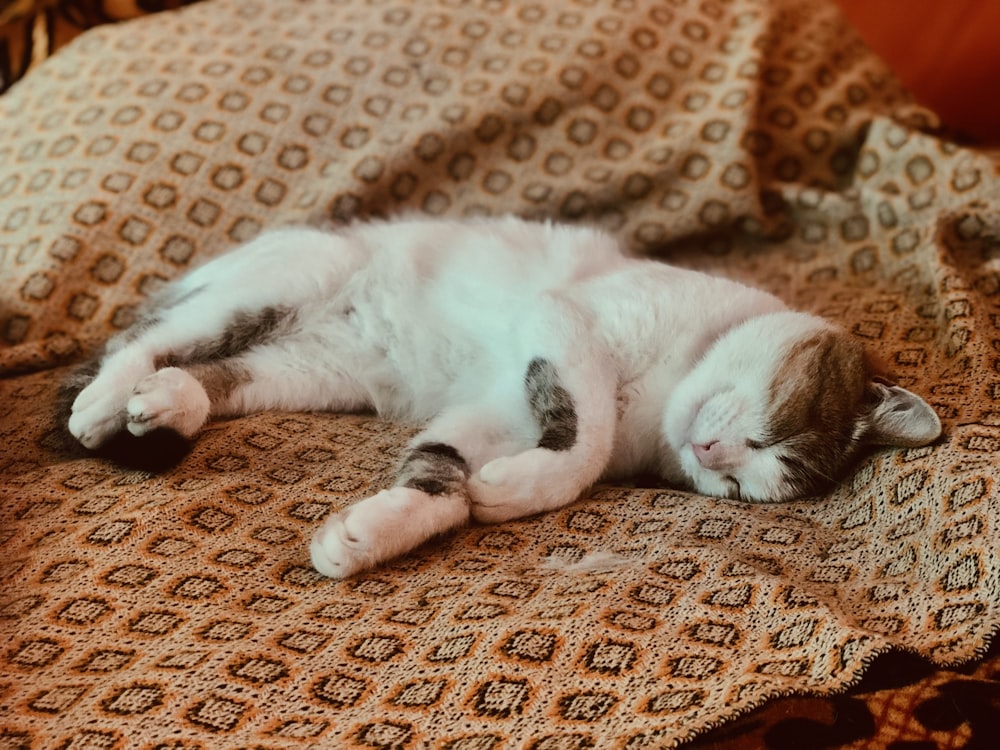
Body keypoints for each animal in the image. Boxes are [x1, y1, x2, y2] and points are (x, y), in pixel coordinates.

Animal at [62, 214, 936, 580]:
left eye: (750, 486)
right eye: (775, 430)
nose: (714, 453)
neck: (657, 401)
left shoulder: (496, 410)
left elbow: (442, 480)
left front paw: (376, 532)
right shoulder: (564, 321)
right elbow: (584, 440)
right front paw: (523, 485)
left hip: (314, 371)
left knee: (215, 375)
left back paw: (168, 402)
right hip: (277, 287)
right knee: (139, 341)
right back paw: (104, 404)